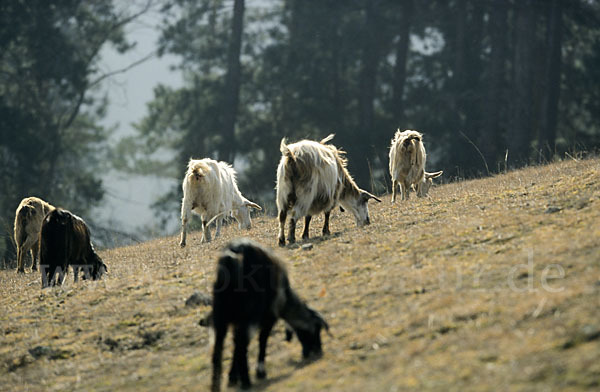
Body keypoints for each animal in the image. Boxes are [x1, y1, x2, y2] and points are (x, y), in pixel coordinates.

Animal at [207, 237, 328, 390]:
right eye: (317, 329)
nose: (318, 350)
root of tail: (233, 257)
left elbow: (234, 346)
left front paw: (232, 378)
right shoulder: (269, 317)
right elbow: (262, 341)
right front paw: (260, 372)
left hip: (220, 315)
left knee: (218, 350)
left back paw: (216, 386)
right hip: (250, 313)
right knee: (242, 345)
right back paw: (246, 382)